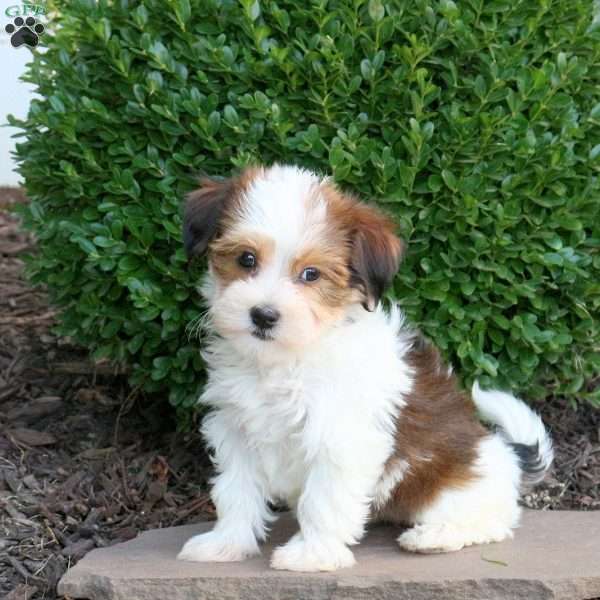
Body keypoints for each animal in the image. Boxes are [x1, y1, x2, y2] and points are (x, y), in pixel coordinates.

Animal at [178, 163, 552, 572]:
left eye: (311, 274)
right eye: (246, 259)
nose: (263, 315)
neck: (286, 359)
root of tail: (509, 455)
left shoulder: (340, 438)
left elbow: (322, 501)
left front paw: (312, 554)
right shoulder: (236, 430)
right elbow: (236, 490)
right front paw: (226, 543)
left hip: (457, 487)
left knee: (493, 522)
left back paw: (433, 537)